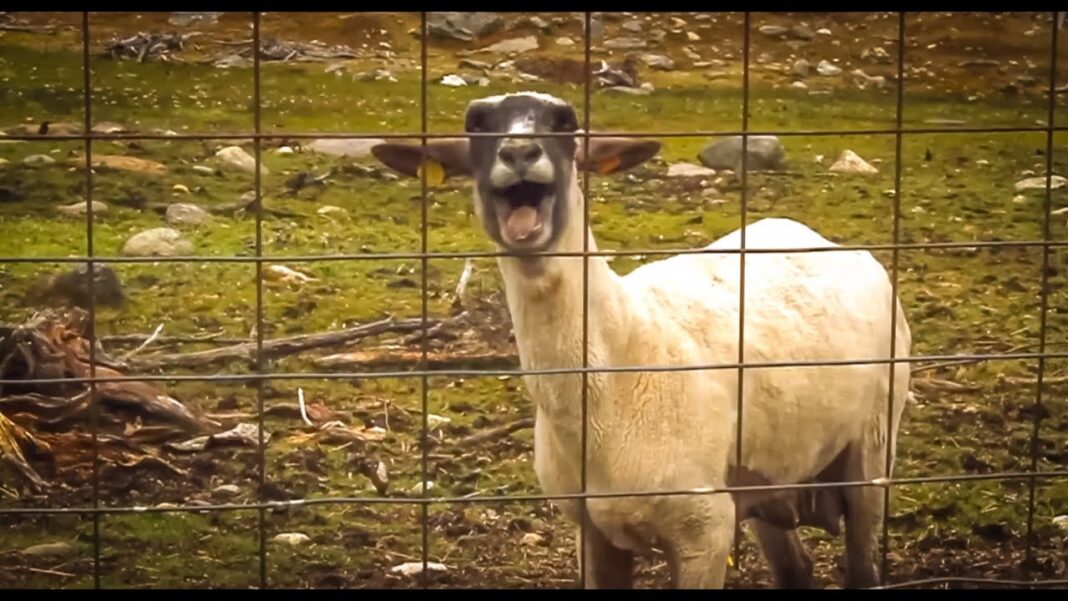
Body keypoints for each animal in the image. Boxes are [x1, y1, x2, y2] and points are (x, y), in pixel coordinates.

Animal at [370, 91, 912, 590]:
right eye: (477, 124)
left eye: (564, 123)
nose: (519, 152)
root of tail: (819, 236)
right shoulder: (594, 531)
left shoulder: (705, 530)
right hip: (773, 470)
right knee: (796, 569)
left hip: (873, 443)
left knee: (863, 561)